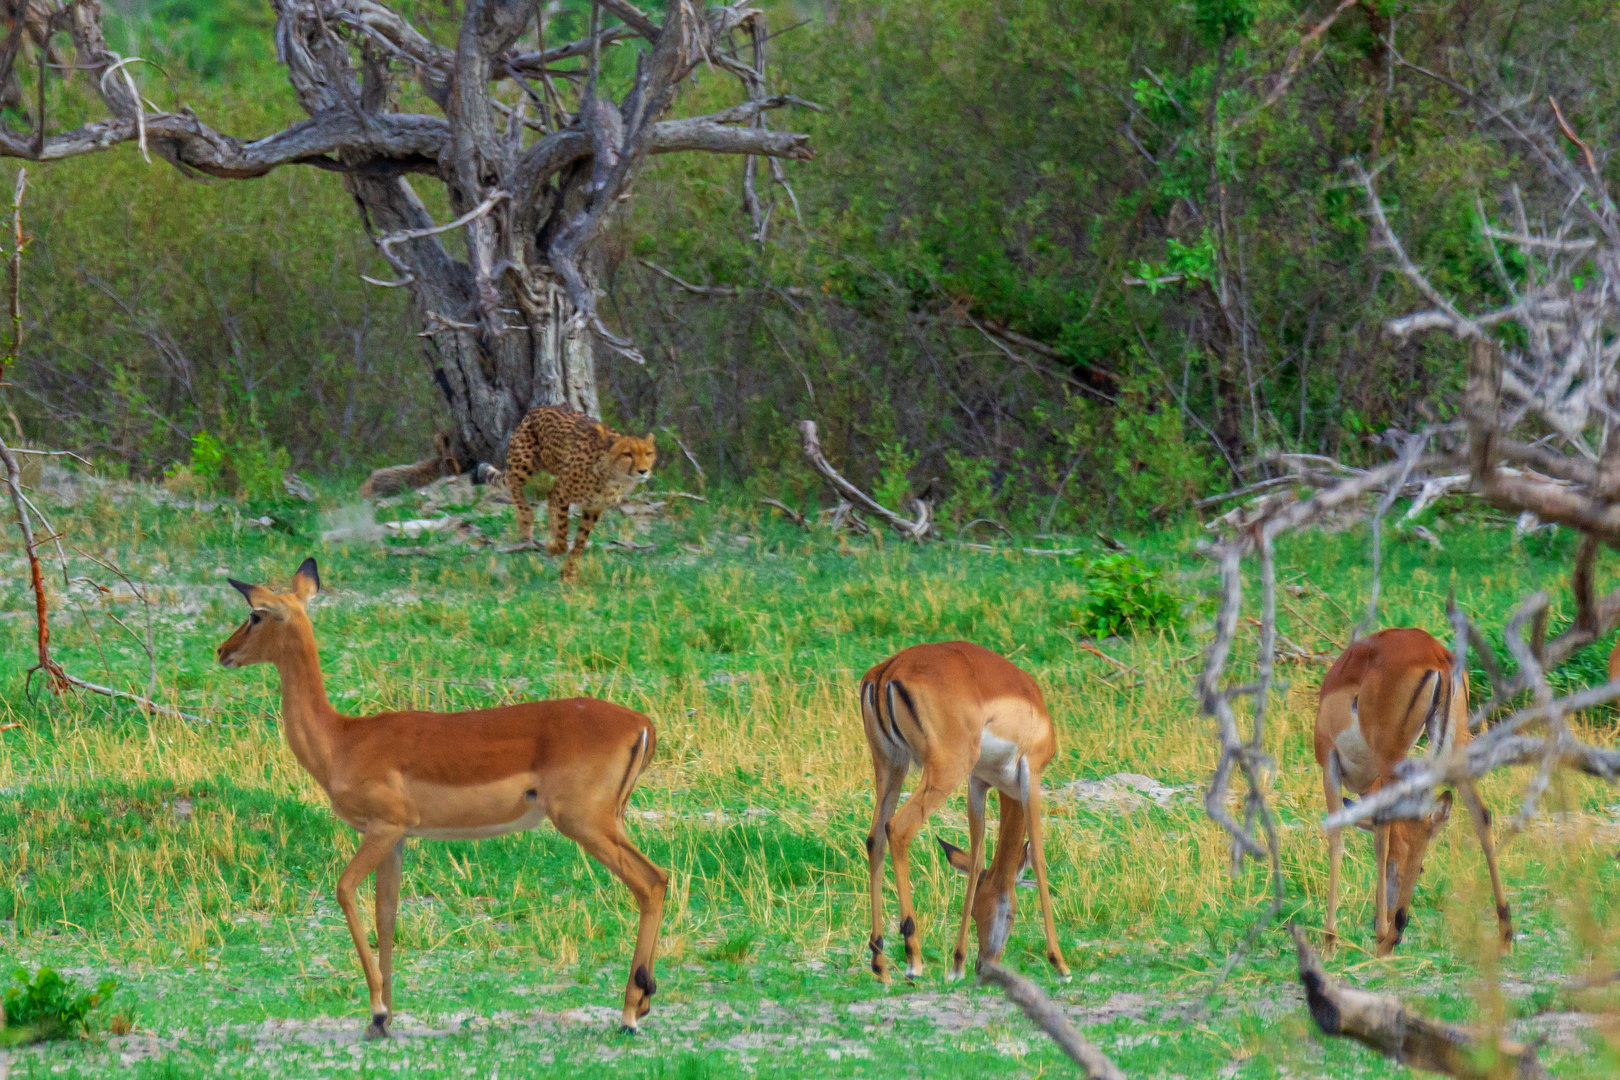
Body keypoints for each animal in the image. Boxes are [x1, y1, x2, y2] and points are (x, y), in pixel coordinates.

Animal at [505, 404, 657, 579]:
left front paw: (568, 570)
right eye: (627, 454)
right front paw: (556, 547)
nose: (643, 471)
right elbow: (564, 530)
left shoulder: (594, 507)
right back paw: (526, 521)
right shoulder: (564, 491)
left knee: (549, 494)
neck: (613, 476)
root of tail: (538, 408)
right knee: (513, 482)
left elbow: (580, 540)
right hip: (524, 463)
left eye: (648, 453)